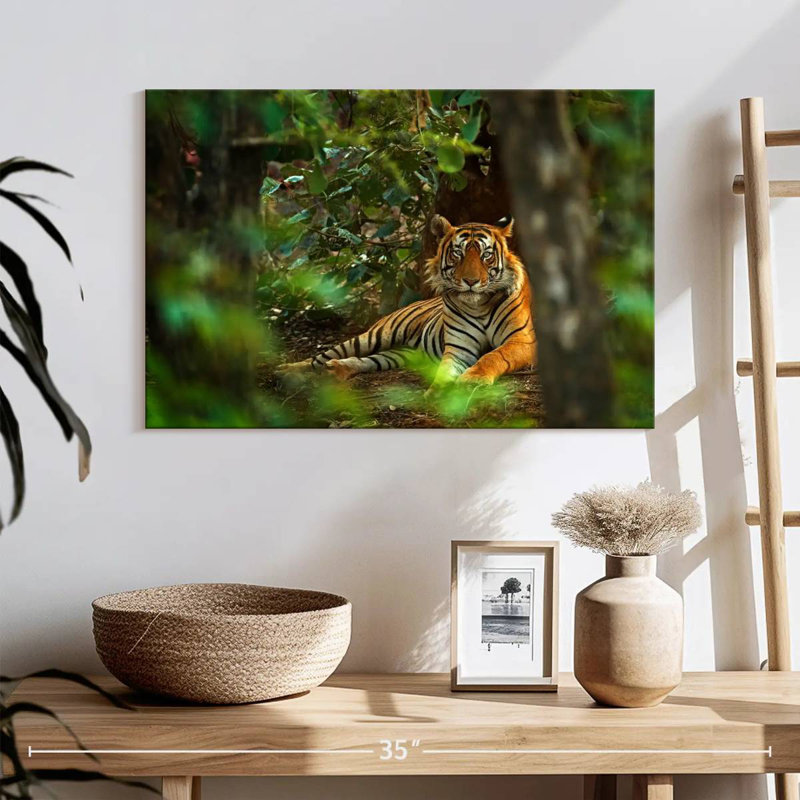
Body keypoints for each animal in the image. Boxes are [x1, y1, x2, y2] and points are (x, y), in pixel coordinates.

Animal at [279, 215, 537, 387]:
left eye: (486, 255)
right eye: (458, 253)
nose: (471, 281)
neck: (479, 305)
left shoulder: (522, 340)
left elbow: (493, 355)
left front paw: (473, 379)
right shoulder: (459, 347)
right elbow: (445, 369)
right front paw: (438, 391)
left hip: (401, 354)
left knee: (367, 361)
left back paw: (337, 370)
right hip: (375, 335)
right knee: (321, 356)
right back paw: (287, 371)